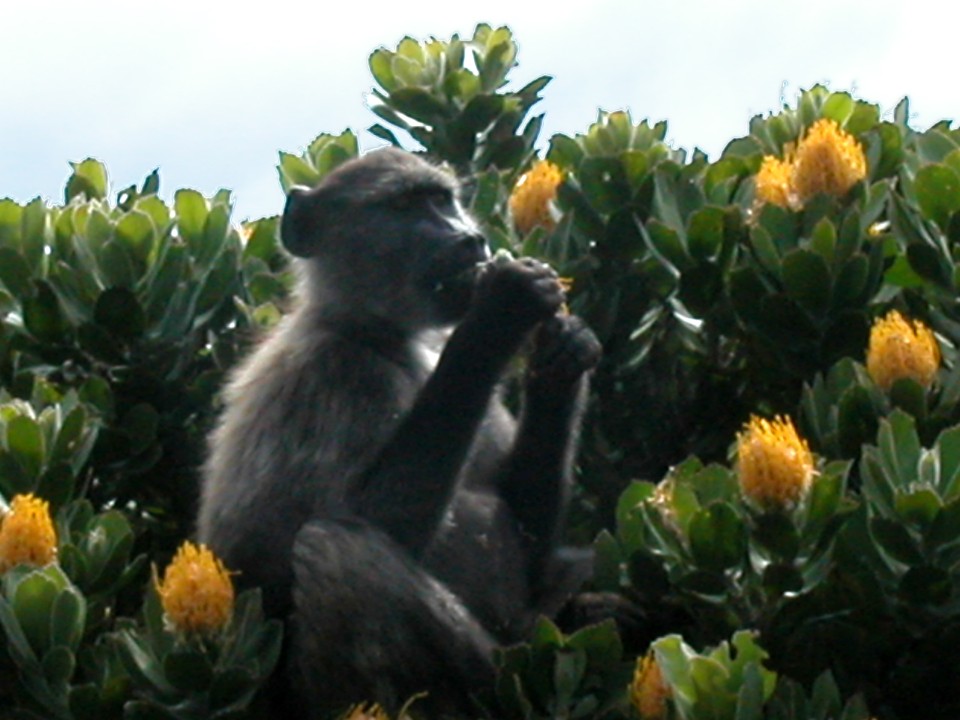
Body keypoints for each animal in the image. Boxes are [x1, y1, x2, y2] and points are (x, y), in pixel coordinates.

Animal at [196, 147, 602, 718]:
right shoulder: (329, 375)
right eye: (406, 206)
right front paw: (500, 312)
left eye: (445, 200)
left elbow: (527, 534)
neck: (380, 338)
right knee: (334, 552)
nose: (470, 239)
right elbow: (347, 527)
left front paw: (562, 355)